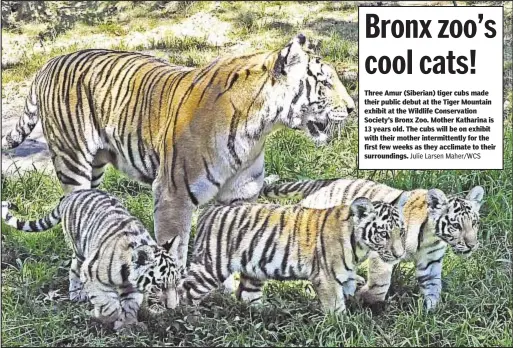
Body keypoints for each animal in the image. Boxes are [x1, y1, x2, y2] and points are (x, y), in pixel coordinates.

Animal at [1, 34, 352, 278]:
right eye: (324, 83)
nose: (351, 108)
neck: (260, 129)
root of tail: (50, 62)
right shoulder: (174, 194)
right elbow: (175, 249)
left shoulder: (241, 194)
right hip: (72, 162)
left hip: (97, 167)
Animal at [260, 178, 484, 308]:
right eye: (456, 226)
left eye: (474, 223)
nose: (472, 245)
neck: (430, 237)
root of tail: (322, 183)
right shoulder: (382, 251)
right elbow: (380, 284)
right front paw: (365, 298)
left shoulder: (430, 261)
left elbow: (433, 285)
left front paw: (431, 310)